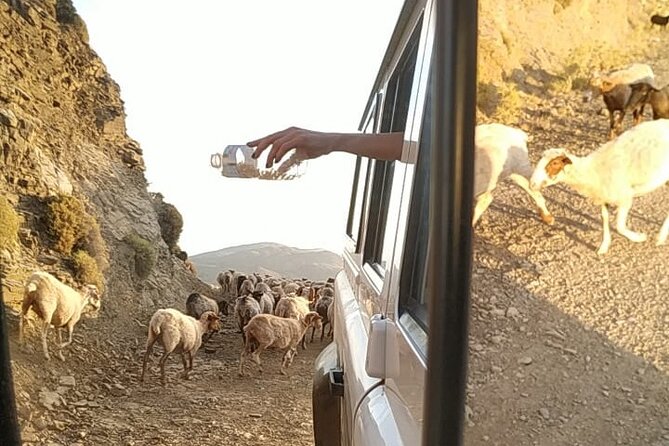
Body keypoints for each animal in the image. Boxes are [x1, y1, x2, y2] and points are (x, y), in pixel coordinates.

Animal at [528, 120, 669, 256]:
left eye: (555, 163)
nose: (532, 184)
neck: (592, 171)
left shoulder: (625, 197)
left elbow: (619, 227)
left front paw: (639, 237)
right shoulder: (603, 196)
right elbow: (604, 218)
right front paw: (604, 246)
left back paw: (660, 238)